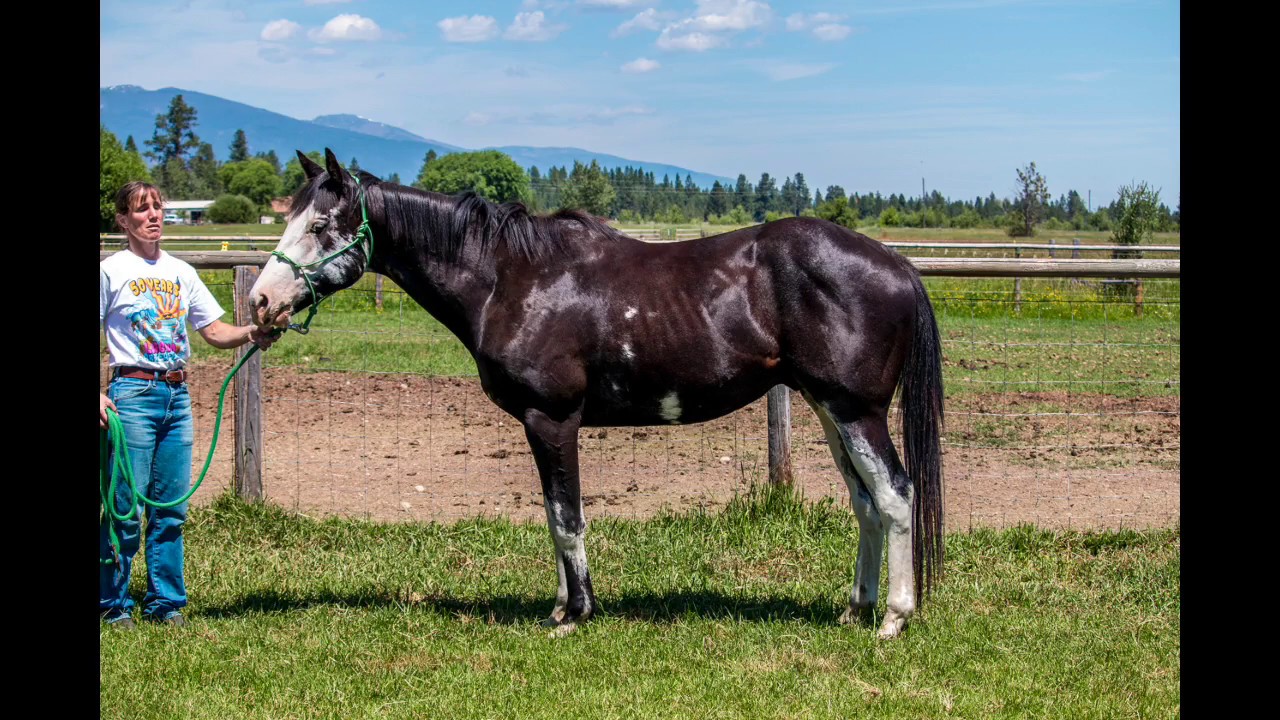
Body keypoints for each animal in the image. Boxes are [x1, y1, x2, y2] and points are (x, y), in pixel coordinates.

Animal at [251, 149, 944, 639]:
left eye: (320, 224)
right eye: (288, 218)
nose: (260, 302)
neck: (511, 278)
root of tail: (897, 265)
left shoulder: (551, 419)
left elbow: (566, 516)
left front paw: (576, 612)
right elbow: (553, 514)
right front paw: (562, 604)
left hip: (856, 412)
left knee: (895, 495)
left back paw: (893, 618)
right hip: (829, 411)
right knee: (864, 503)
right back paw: (855, 609)